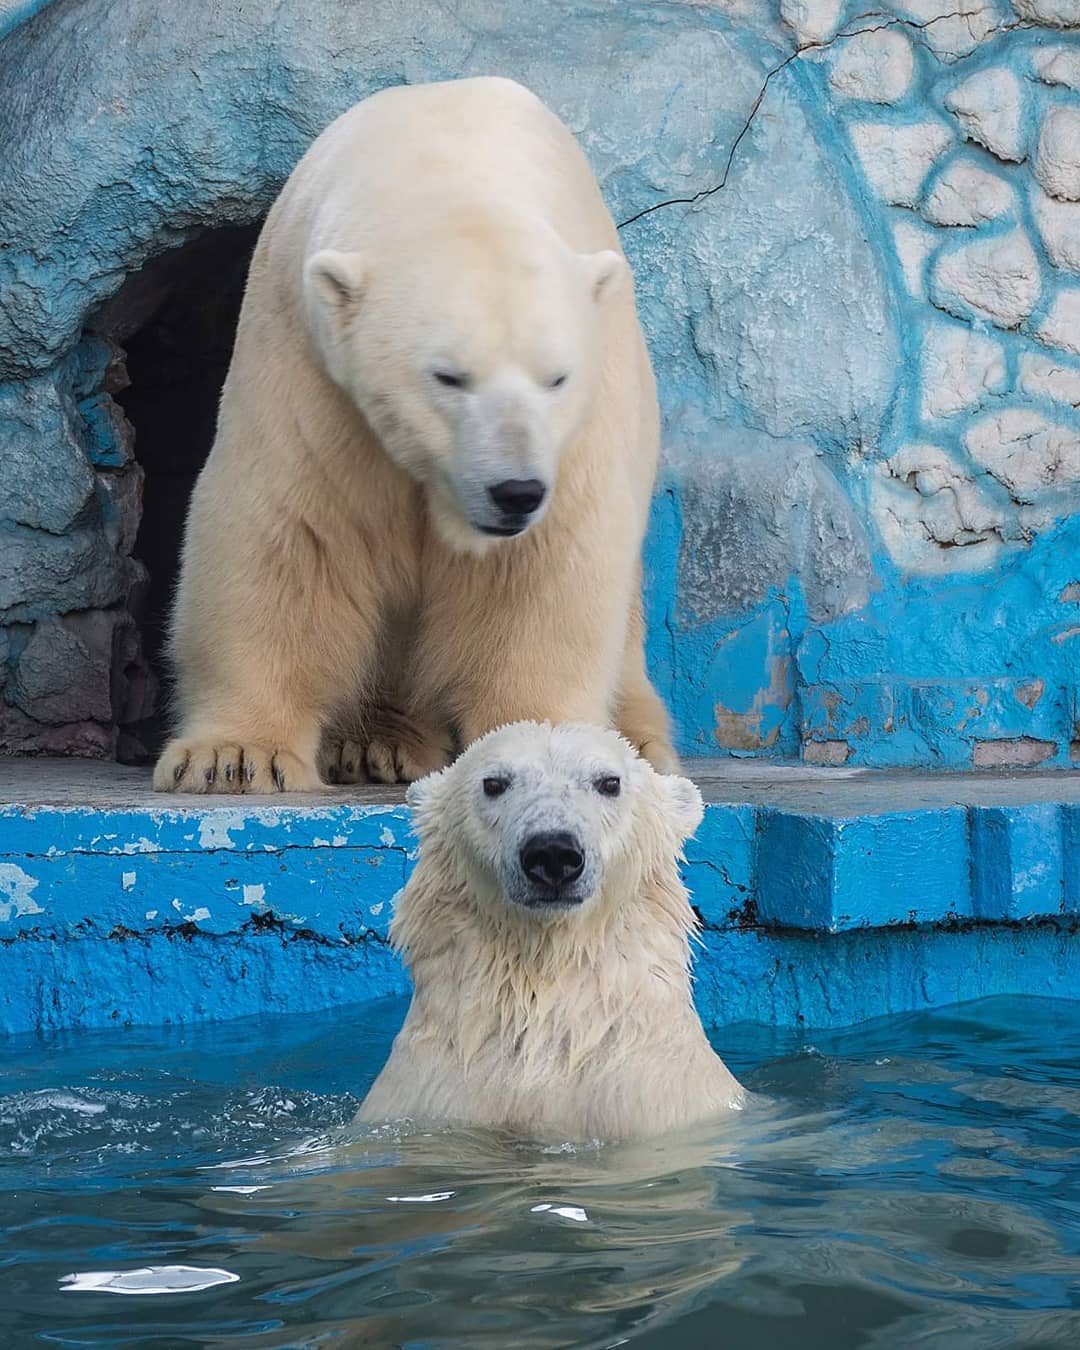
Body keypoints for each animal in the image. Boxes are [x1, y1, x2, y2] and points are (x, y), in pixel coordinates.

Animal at [151, 78, 675, 793]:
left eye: (557, 378)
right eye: (447, 376)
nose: (516, 491)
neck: (448, 159)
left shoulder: (582, 432)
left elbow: (538, 574)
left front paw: (545, 754)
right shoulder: (308, 374)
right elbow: (287, 535)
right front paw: (233, 757)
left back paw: (641, 745)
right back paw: (377, 742)